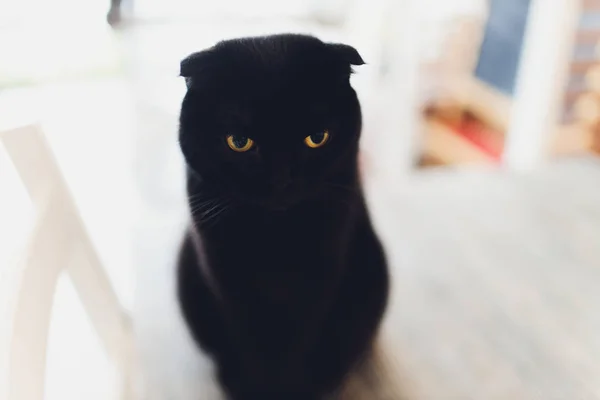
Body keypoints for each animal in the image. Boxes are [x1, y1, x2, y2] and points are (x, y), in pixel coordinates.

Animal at [175, 34, 390, 400]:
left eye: (317, 138)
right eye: (239, 142)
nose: (281, 182)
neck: (275, 240)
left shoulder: (319, 279)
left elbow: (297, 347)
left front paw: (293, 388)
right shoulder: (229, 282)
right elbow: (251, 347)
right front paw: (254, 388)